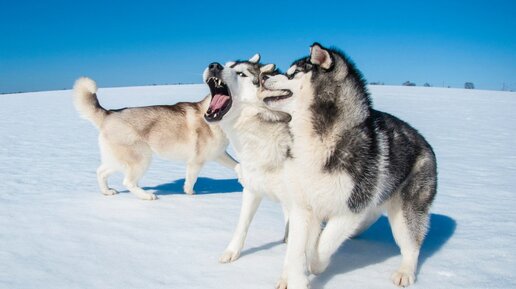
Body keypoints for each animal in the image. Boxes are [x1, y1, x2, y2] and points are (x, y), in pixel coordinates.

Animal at [73, 77, 238, 199]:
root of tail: (109, 114)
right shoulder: (196, 161)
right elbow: (191, 180)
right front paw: (190, 194)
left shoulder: (218, 154)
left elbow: (237, 165)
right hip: (141, 158)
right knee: (128, 182)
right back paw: (147, 196)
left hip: (117, 161)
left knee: (100, 172)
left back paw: (107, 191)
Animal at [203, 54, 294, 264]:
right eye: (227, 65)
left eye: (241, 74)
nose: (214, 65)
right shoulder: (252, 188)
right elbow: (242, 224)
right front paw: (232, 252)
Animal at [260, 42, 438, 286]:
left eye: (293, 73)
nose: (263, 75)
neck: (322, 138)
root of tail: (424, 142)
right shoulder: (302, 206)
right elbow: (297, 248)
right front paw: (292, 277)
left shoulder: (351, 210)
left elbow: (322, 244)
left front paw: (314, 265)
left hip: (406, 212)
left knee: (411, 245)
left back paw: (405, 272)